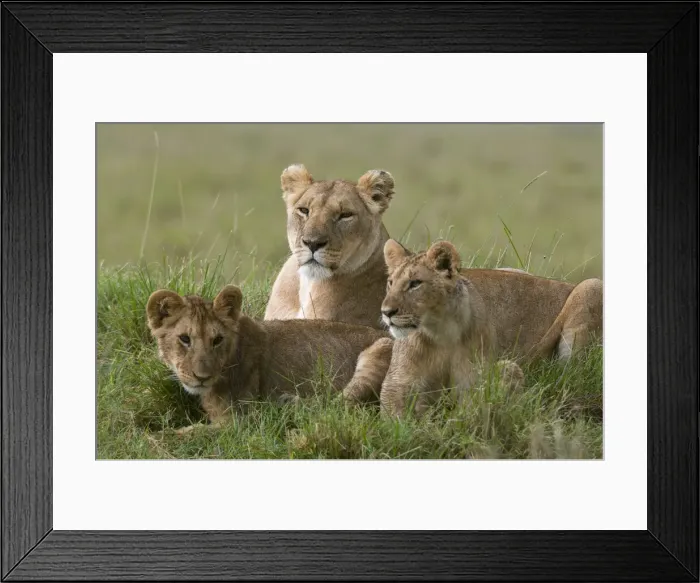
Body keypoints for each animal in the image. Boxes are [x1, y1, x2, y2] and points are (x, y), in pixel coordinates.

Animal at [146, 285, 393, 430]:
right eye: (184, 339)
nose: (202, 377)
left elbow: (187, 433)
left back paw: (288, 405)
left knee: (338, 410)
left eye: (217, 340)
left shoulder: (238, 421)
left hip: (381, 348)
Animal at [378, 239, 603, 417]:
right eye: (390, 283)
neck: (440, 333)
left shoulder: (474, 381)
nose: (386, 312)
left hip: (592, 285)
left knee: (568, 375)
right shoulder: (396, 383)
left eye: (415, 283)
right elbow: (394, 418)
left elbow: (469, 412)